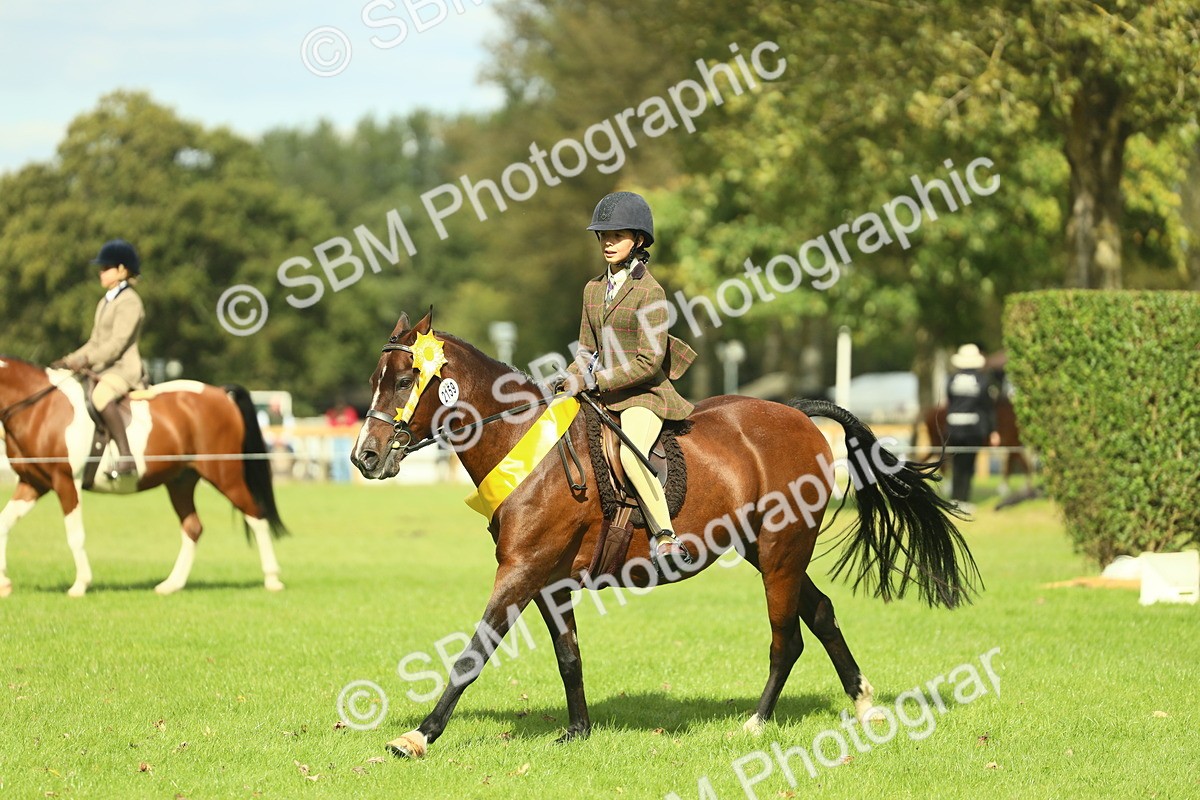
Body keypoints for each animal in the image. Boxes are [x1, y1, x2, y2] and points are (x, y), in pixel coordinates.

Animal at [0, 356, 286, 597]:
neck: (40, 409)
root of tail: (220, 394)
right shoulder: (33, 484)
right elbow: (4, 523)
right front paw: (4, 584)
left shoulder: (66, 482)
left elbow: (75, 535)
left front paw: (80, 584)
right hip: (180, 482)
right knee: (193, 527)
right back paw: (171, 585)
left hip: (225, 476)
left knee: (256, 515)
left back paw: (272, 579)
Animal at [352, 311, 979, 759]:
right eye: (375, 380)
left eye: (405, 379)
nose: (365, 457)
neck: (523, 445)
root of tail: (796, 413)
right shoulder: (547, 580)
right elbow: (568, 656)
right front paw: (578, 732)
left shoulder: (521, 571)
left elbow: (473, 653)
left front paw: (419, 736)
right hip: (766, 551)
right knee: (820, 614)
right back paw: (866, 706)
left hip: (781, 551)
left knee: (787, 640)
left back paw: (756, 723)